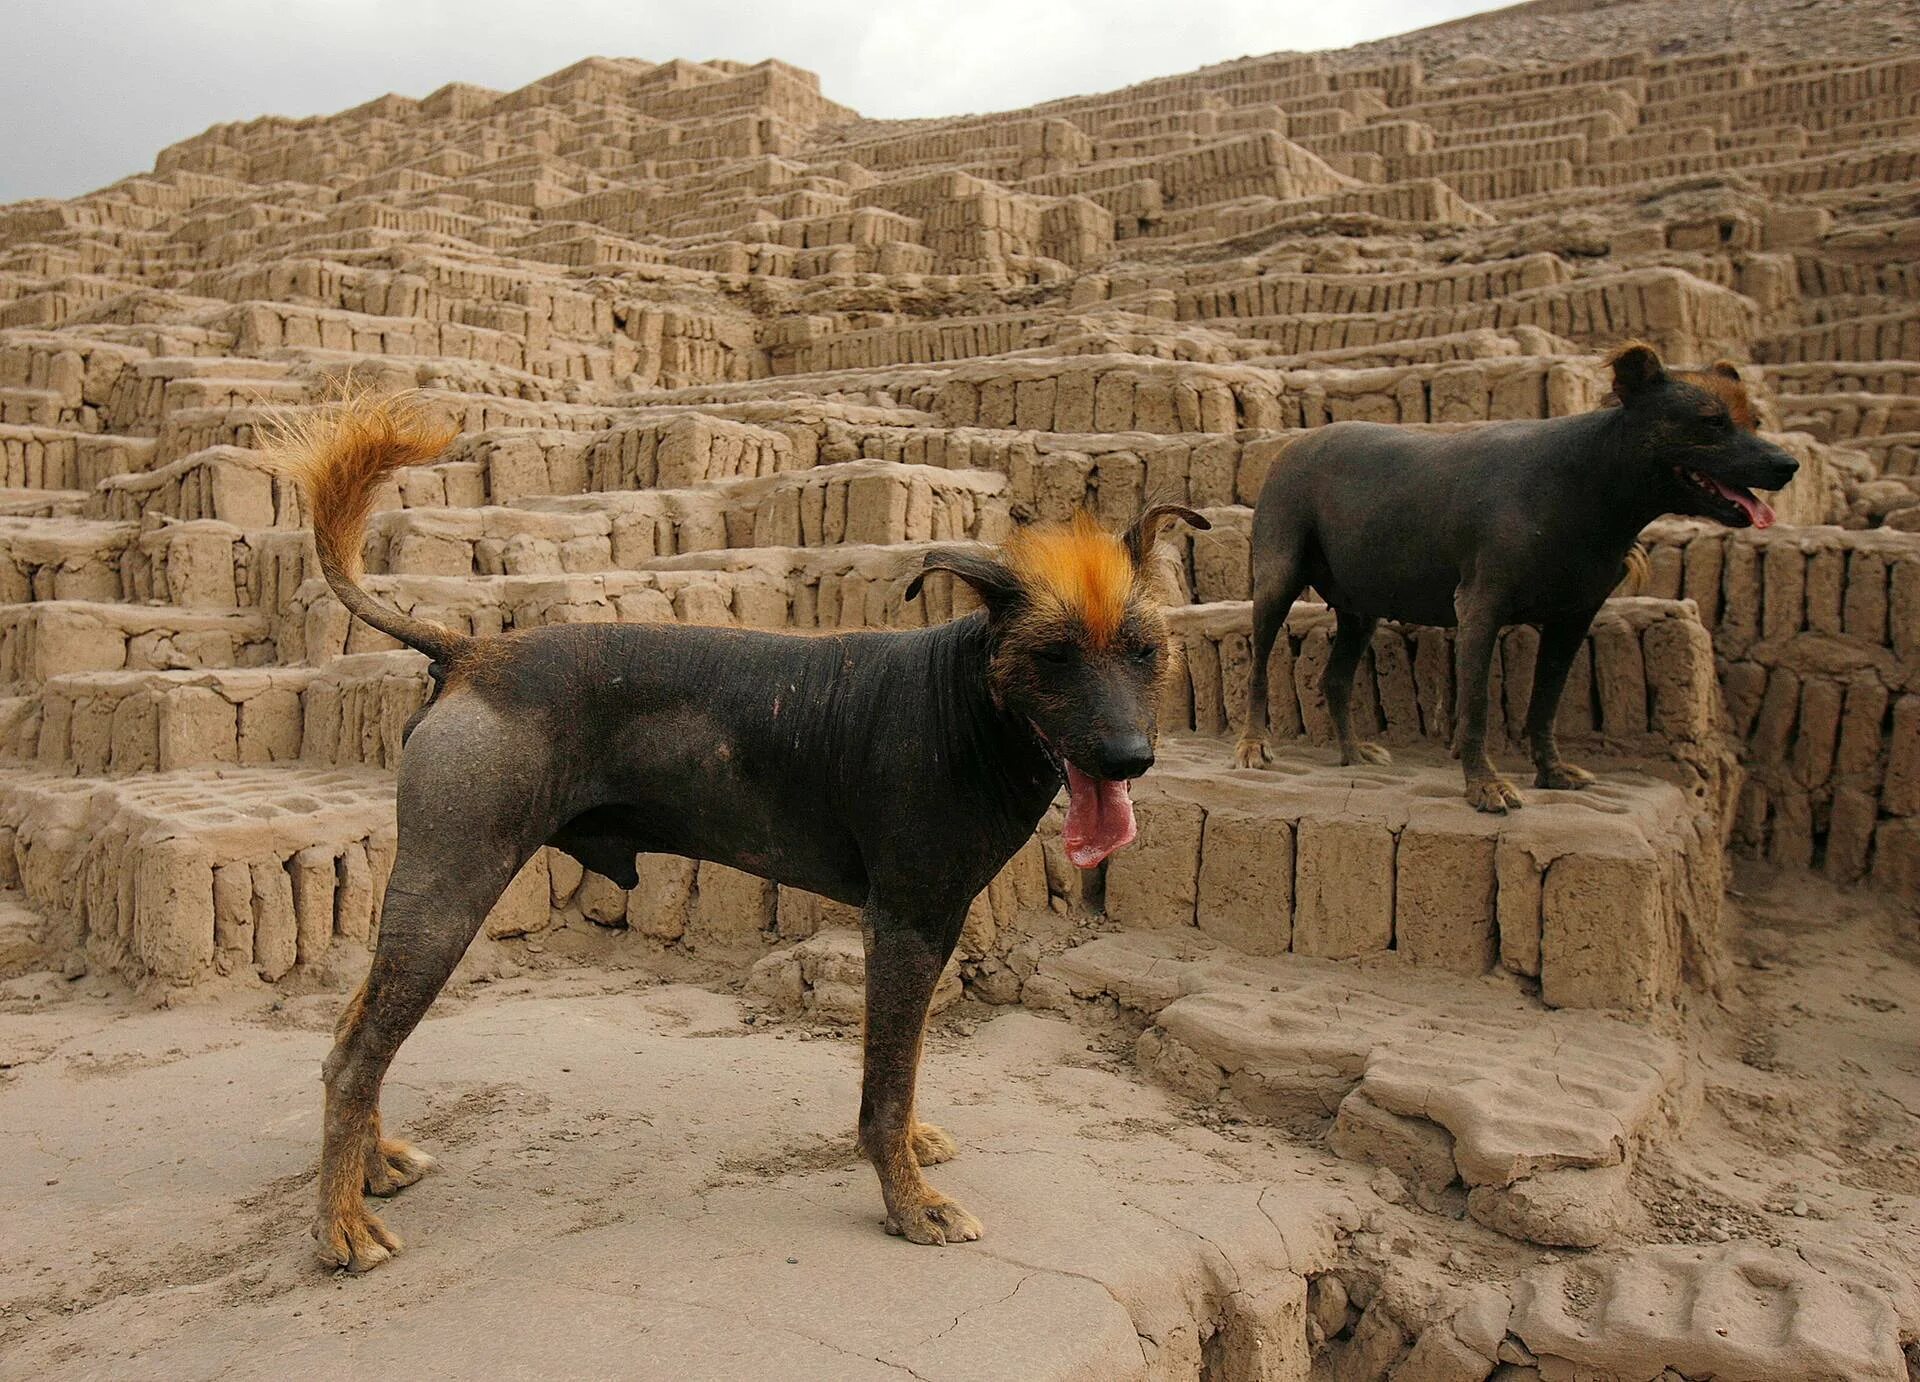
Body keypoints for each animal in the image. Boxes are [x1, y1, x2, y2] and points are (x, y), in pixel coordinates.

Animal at [264, 391, 1205, 1274]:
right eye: (1052, 656)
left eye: (1143, 650)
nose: (1128, 758)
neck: (968, 704)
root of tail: (468, 654)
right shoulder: (906, 926)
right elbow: (886, 1086)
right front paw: (909, 1200)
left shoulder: (926, 930)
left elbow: (900, 1069)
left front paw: (912, 1151)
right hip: (450, 893)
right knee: (356, 1054)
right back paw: (340, 1223)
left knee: (351, 1033)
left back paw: (370, 1166)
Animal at [1228, 343, 1797, 810]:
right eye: (1711, 422)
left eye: (1753, 420)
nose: (1787, 464)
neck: (1589, 480)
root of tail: (1291, 446)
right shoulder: (1480, 608)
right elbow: (1477, 707)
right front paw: (1484, 785)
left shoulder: (1572, 620)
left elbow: (1544, 706)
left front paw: (1551, 772)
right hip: (1277, 578)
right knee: (1258, 669)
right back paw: (1253, 745)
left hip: (1360, 608)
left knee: (1336, 678)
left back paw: (1353, 754)